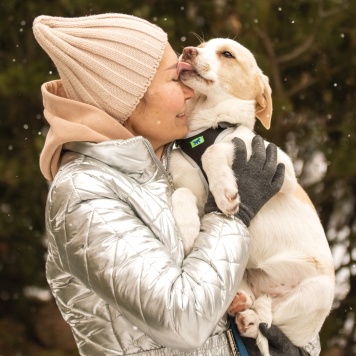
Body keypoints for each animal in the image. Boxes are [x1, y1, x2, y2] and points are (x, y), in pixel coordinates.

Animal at [171, 39, 336, 356]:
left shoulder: (281, 166)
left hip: (317, 292)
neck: (205, 129)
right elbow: (181, 193)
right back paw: (241, 303)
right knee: (260, 304)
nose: (187, 51)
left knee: (270, 316)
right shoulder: (198, 199)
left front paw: (225, 191)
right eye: (200, 45)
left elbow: (217, 150)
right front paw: (186, 229)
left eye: (227, 54)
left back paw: (250, 319)